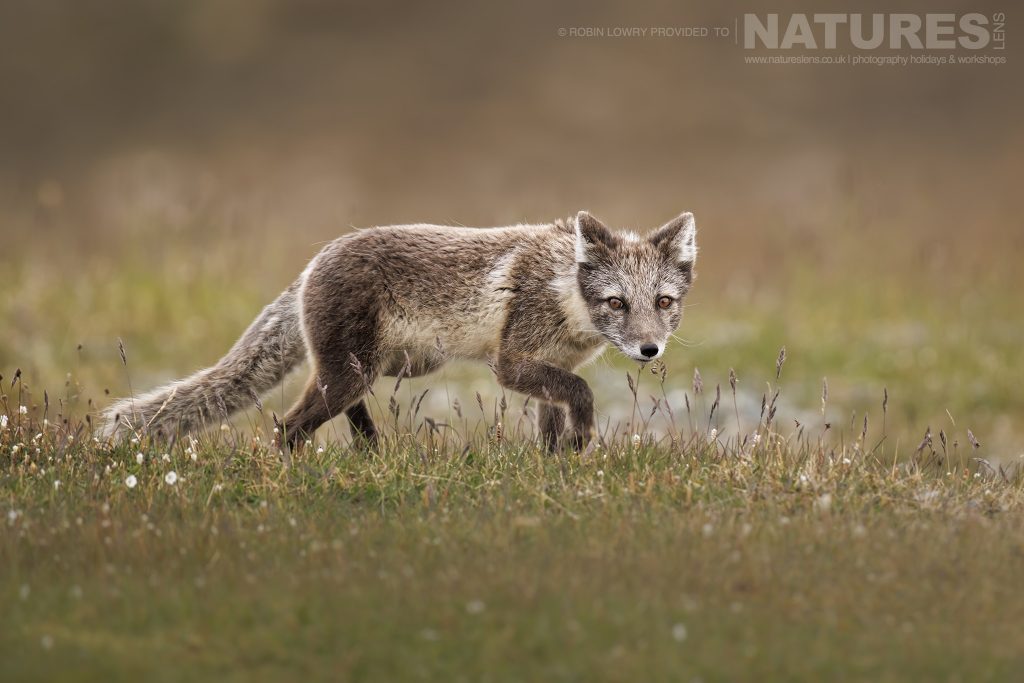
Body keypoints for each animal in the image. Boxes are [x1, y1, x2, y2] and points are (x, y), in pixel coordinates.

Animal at [102, 210, 697, 452]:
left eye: (663, 303)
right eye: (617, 302)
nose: (650, 349)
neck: (564, 293)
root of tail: (311, 265)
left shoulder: (548, 369)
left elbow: (554, 420)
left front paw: (562, 462)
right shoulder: (512, 365)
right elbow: (582, 393)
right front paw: (581, 440)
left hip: (376, 370)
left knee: (339, 413)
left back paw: (371, 452)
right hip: (354, 373)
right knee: (287, 428)